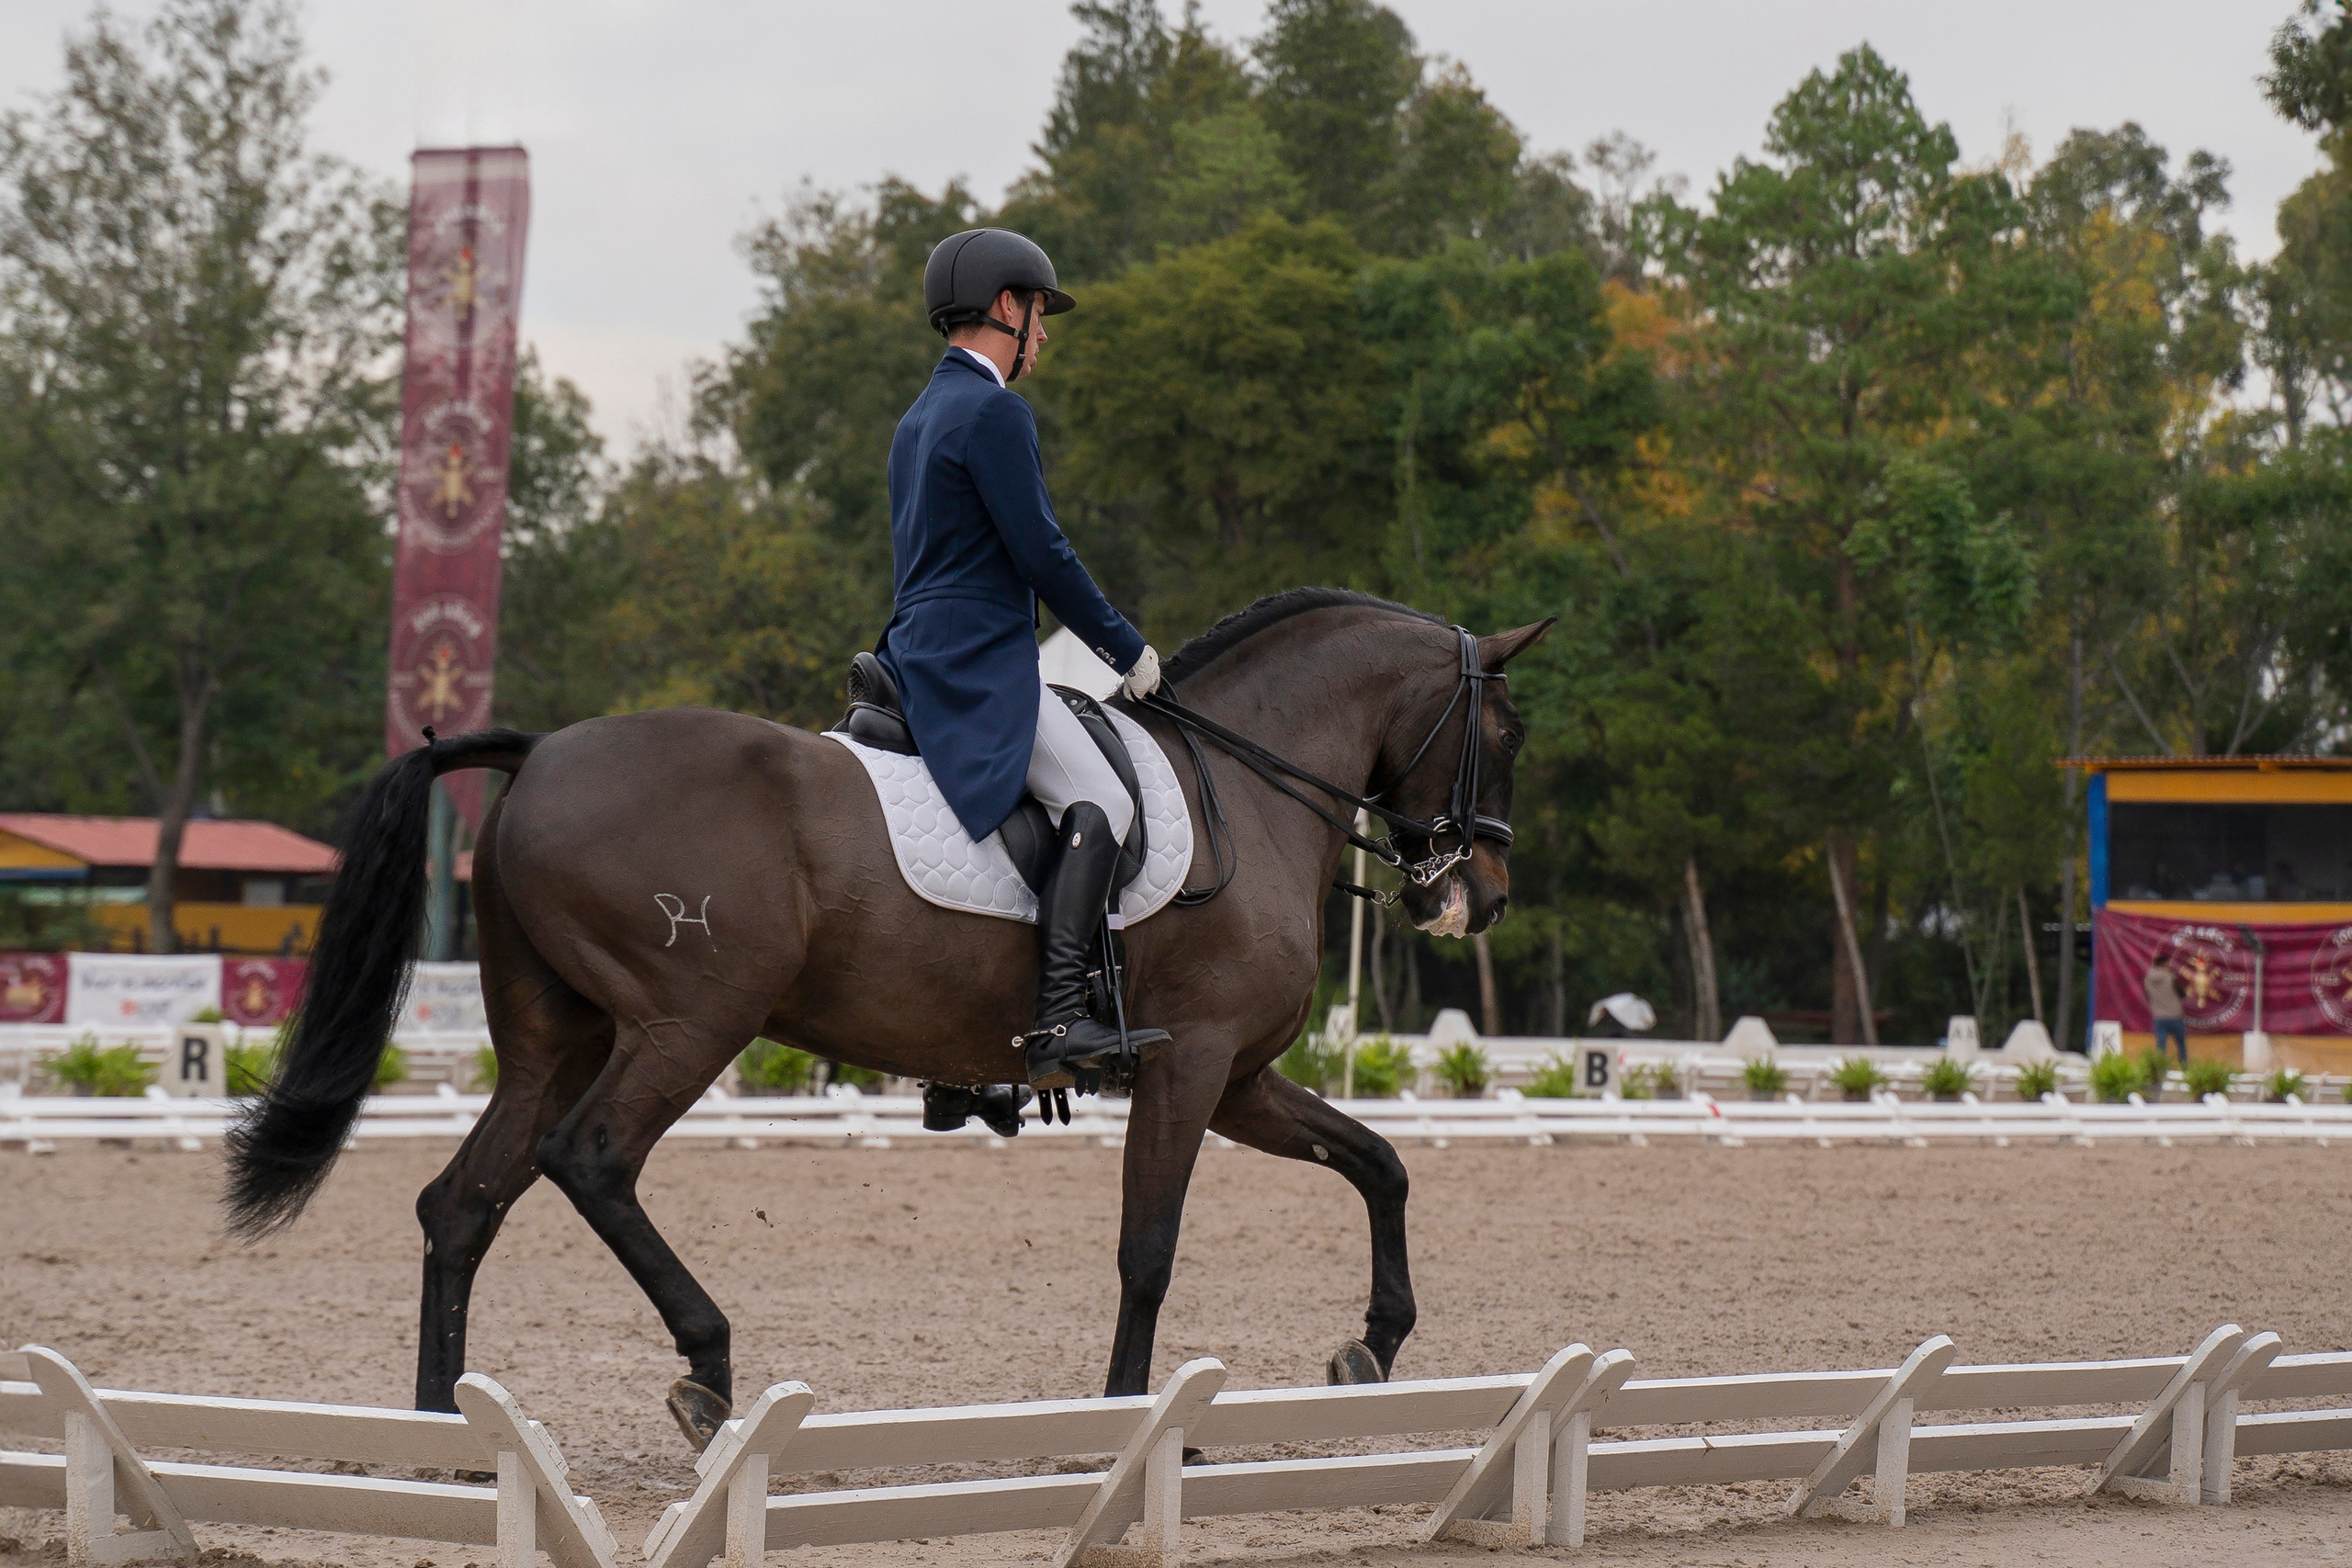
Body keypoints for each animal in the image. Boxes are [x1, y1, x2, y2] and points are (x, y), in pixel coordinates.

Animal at [223, 587, 1552, 1446]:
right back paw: (708, 1369)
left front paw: (1375, 1343)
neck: (1249, 786)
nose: (1479, 894)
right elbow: (1150, 1247)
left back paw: (441, 1433)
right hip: (686, 1024)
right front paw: (1129, 1419)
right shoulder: (1193, 1071)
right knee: (588, 1159)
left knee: (464, 1201)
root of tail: (540, 750)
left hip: (559, 1037)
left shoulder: (1237, 1078)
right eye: (1507, 728)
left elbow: (1378, 1162)